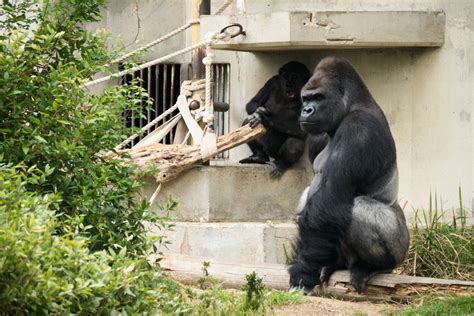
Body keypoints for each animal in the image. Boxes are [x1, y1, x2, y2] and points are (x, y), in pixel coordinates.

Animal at [288, 56, 412, 294]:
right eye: (305, 98)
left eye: (319, 97)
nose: (306, 110)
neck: (352, 105)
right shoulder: (317, 136)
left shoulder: (358, 131)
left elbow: (327, 203)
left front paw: (302, 274)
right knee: (307, 196)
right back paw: (334, 265)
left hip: (401, 251)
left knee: (360, 208)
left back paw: (372, 266)